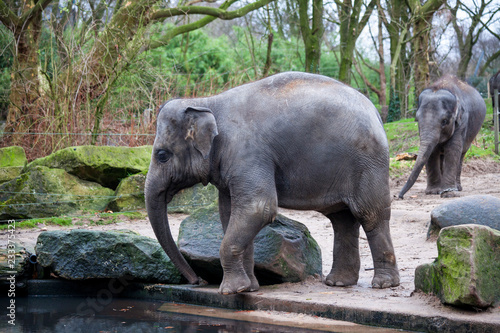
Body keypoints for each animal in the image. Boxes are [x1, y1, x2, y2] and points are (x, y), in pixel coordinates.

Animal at [144, 72, 398, 294]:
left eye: (162, 155)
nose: (197, 281)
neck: (207, 102)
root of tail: (376, 113)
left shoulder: (248, 153)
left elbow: (258, 208)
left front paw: (230, 291)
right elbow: (230, 213)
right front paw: (249, 288)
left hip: (367, 163)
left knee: (369, 214)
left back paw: (383, 284)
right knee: (342, 219)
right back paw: (338, 283)